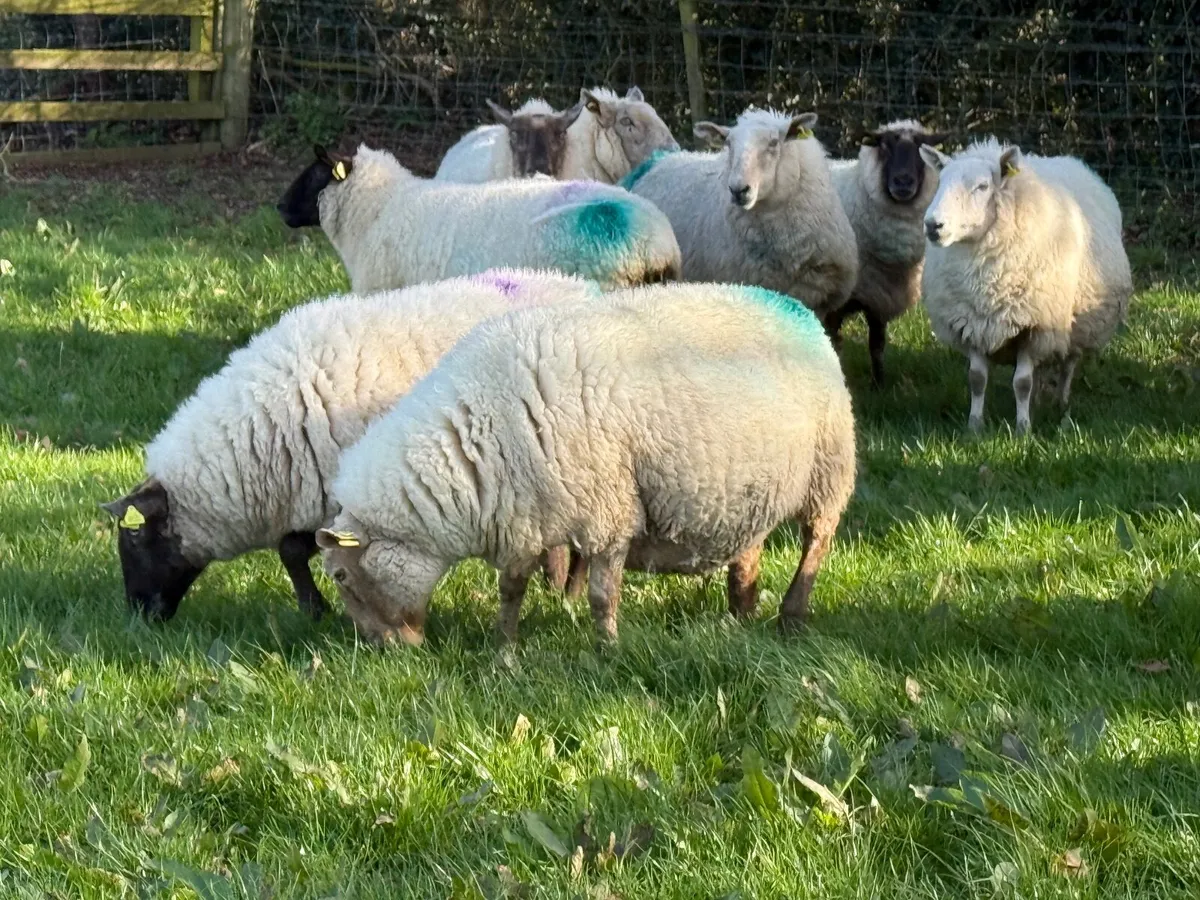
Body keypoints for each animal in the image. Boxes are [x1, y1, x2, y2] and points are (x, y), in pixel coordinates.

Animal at [101, 270, 600, 622]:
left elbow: (294, 550)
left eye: (134, 541)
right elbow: (291, 550)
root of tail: (580, 287)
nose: (140, 618)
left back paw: (568, 593)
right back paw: (555, 584)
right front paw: (313, 609)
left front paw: (317, 608)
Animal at [315, 282, 857, 647]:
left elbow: (601, 594)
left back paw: (791, 616)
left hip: (829, 470)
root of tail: (796, 308)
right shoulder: (521, 518)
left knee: (817, 540)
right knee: (749, 549)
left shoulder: (609, 512)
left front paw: (607, 650)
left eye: (340, 576)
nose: (383, 650)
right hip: (751, 487)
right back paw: (741, 613)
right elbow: (510, 591)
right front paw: (504, 653)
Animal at [824, 120, 948, 386]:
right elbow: (833, 345)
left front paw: (879, 385)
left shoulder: (878, 295)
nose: (903, 182)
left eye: (921, 147)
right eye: (884, 146)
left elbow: (877, 346)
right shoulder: (834, 300)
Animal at [920, 139, 1133, 434]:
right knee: (1042, 368)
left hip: (1074, 323)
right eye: (940, 182)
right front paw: (974, 425)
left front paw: (1022, 428)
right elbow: (976, 379)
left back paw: (1060, 401)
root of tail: (1074, 161)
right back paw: (1040, 398)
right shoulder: (971, 323)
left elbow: (1022, 383)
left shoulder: (1034, 326)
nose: (933, 225)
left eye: (982, 186)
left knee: (1068, 363)